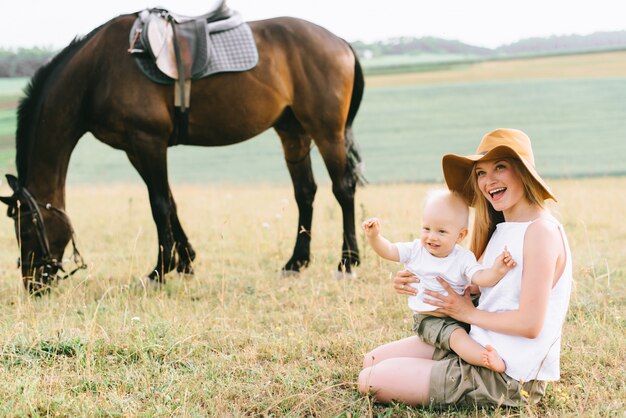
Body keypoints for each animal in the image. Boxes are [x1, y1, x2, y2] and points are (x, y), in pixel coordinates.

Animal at [0, 8, 364, 292]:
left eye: (26, 227)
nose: (33, 284)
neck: (98, 73)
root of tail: (340, 42)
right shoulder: (135, 149)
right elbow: (170, 202)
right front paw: (185, 261)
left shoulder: (148, 142)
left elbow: (159, 205)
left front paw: (159, 271)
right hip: (293, 131)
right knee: (305, 192)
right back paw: (295, 262)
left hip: (326, 132)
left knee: (342, 189)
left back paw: (347, 262)